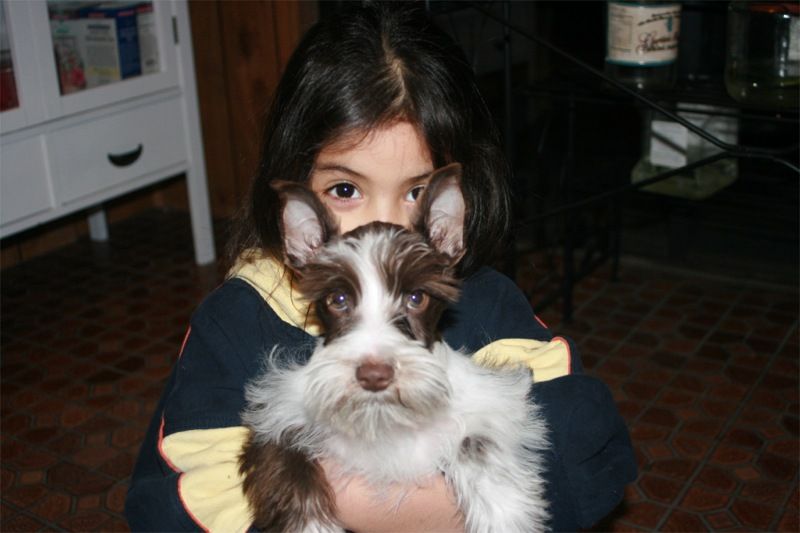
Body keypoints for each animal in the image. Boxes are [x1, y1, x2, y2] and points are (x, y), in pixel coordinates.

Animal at [238, 164, 552, 528]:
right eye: (338, 299)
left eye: (416, 297)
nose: (374, 375)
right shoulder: (276, 421)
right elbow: (292, 474)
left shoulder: (494, 407)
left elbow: (476, 444)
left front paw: (504, 516)